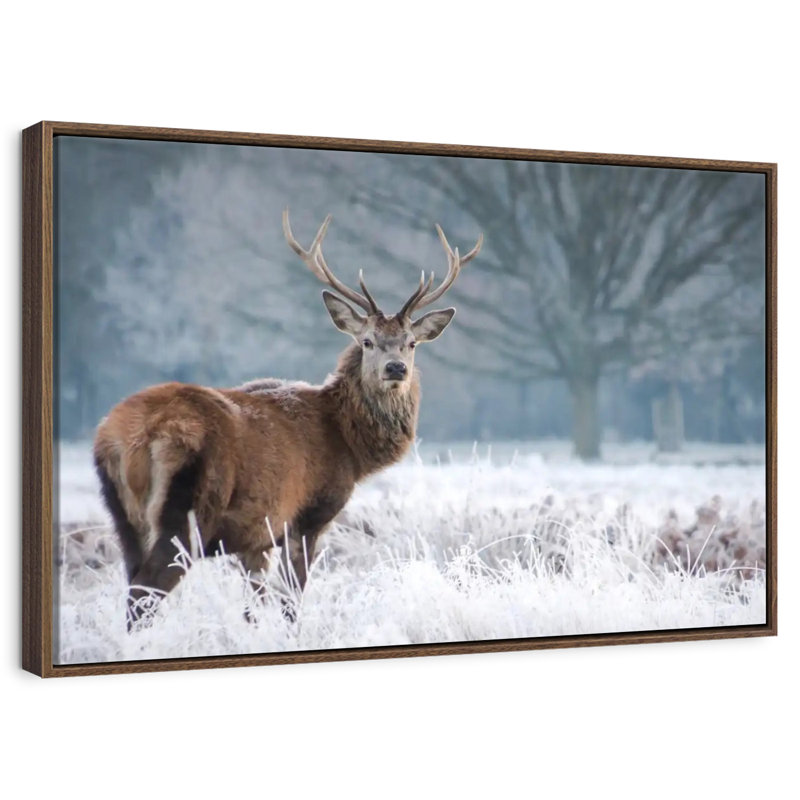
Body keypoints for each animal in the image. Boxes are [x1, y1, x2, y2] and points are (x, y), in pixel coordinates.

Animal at [93, 210, 482, 625]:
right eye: (367, 342)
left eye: (411, 343)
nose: (396, 368)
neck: (348, 446)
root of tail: (129, 438)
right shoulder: (308, 515)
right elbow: (290, 601)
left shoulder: (255, 537)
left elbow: (254, 606)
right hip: (185, 509)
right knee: (143, 596)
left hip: (123, 517)